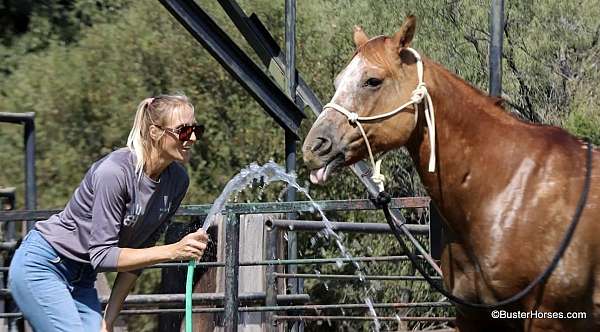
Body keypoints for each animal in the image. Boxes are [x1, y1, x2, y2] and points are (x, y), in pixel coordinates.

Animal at [302, 14, 600, 332]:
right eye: (338, 82)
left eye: (372, 81)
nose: (314, 147)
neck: (510, 190)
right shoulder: (471, 315)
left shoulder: (548, 318)